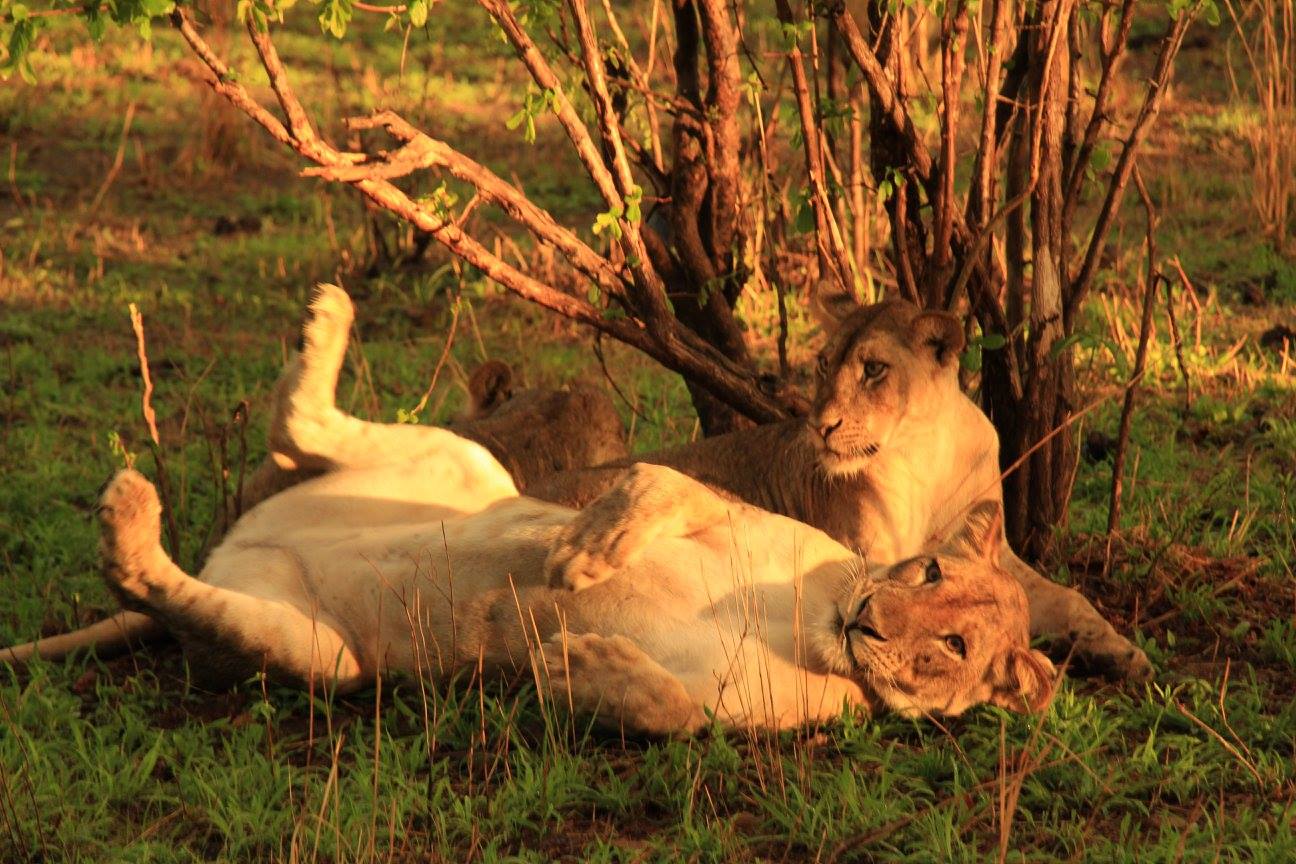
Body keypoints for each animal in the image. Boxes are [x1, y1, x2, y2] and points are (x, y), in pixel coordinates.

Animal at [10, 284, 1052, 730]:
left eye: (955, 643)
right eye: (928, 570)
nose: (874, 618)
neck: (819, 616)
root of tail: (238, 543)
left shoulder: (758, 718)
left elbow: (675, 711)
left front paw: (577, 662)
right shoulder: (743, 509)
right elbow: (660, 485)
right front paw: (586, 552)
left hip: (318, 656)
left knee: (159, 581)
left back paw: (129, 514)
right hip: (462, 460)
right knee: (302, 419)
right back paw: (325, 318)